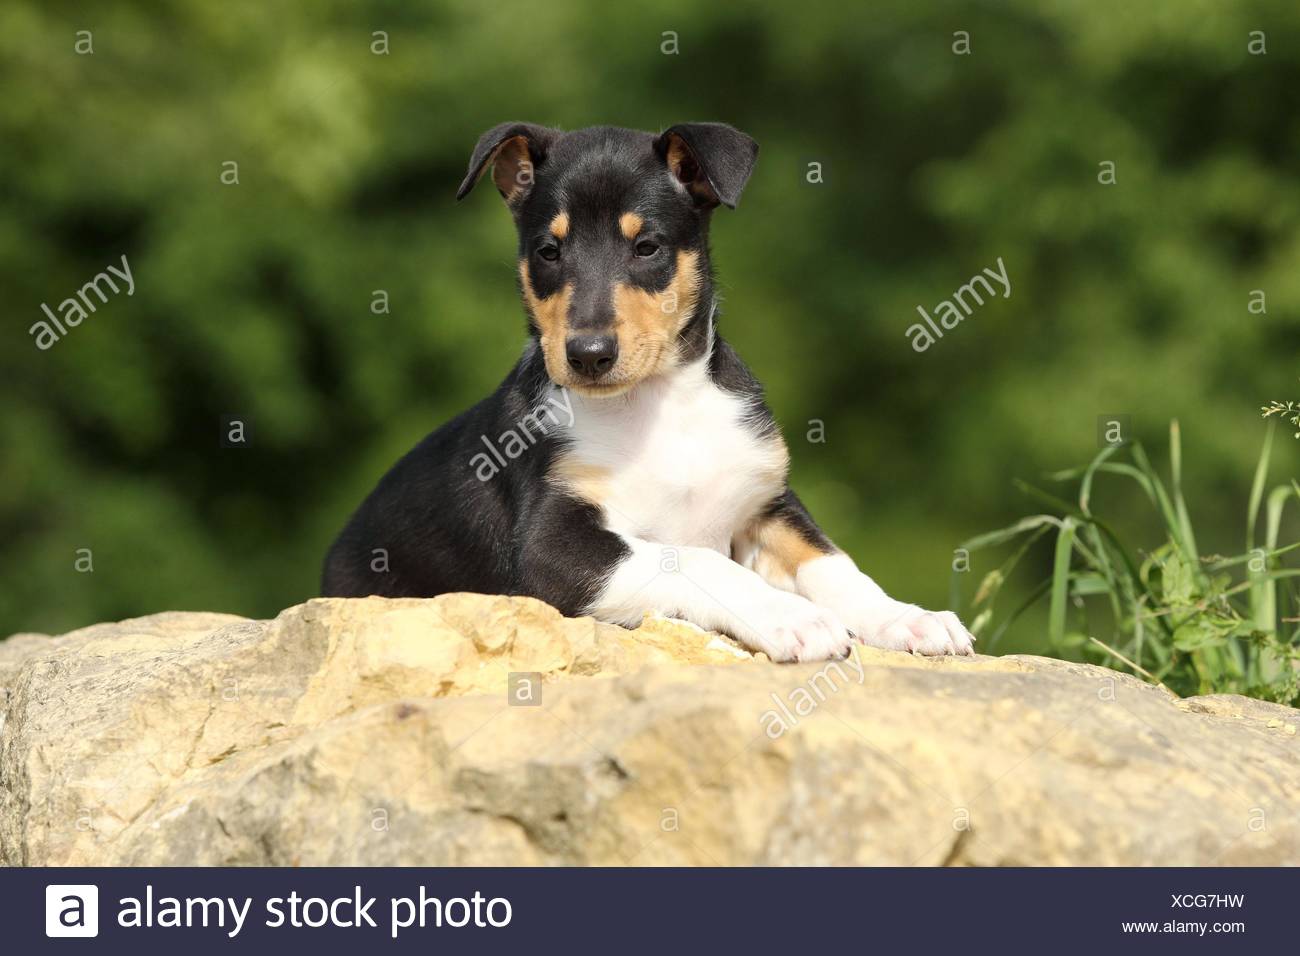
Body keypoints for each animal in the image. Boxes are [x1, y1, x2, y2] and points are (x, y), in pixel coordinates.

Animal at [322, 121, 977, 665]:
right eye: (549, 251)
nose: (588, 355)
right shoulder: (548, 550)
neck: (659, 406)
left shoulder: (766, 503)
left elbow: (835, 563)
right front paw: (792, 618)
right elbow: (690, 558)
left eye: (647, 247)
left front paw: (909, 618)